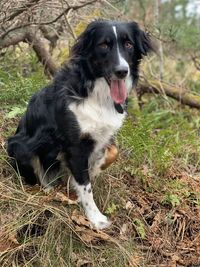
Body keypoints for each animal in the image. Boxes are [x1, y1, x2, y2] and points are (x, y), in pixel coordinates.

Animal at [7, 20, 152, 230]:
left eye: (128, 44)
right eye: (103, 45)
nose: (122, 71)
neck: (98, 94)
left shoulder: (103, 135)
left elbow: (112, 152)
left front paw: (95, 168)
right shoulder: (75, 145)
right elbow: (85, 186)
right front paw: (96, 218)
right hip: (20, 145)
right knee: (37, 176)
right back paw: (49, 190)